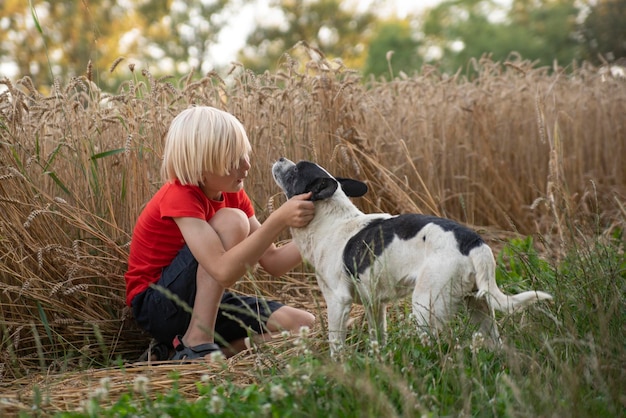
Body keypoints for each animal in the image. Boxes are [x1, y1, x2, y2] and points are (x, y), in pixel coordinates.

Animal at [272, 158, 552, 354]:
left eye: (295, 171)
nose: (280, 157)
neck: (330, 220)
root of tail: (473, 242)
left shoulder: (338, 301)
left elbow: (336, 345)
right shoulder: (375, 304)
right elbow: (378, 338)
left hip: (426, 306)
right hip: (479, 305)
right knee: (495, 342)